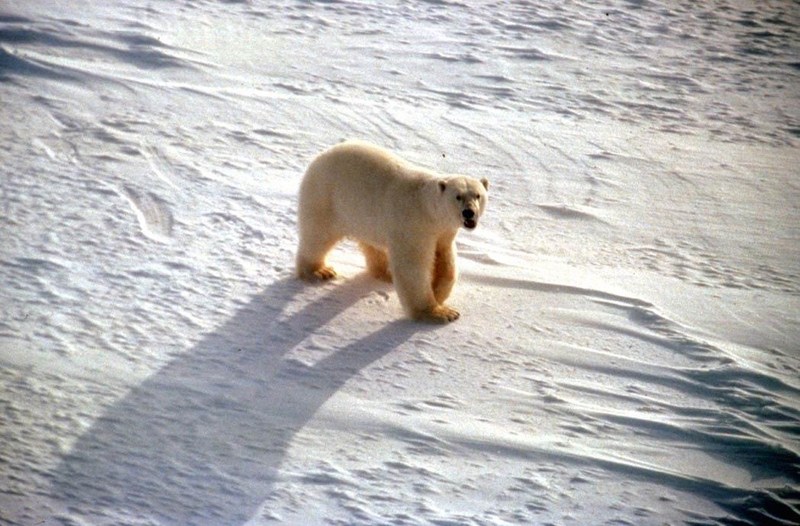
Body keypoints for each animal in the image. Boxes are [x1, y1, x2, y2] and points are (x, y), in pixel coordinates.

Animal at [296, 140, 488, 324]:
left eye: (478, 195)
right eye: (458, 196)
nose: (469, 212)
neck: (428, 207)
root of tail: (320, 157)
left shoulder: (443, 232)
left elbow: (446, 261)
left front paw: (438, 293)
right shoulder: (414, 225)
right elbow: (412, 266)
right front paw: (438, 313)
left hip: (365, 217)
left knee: (372, 244)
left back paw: (386, 273)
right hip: (326, 197)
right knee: (318, 235)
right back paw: (319, 271)